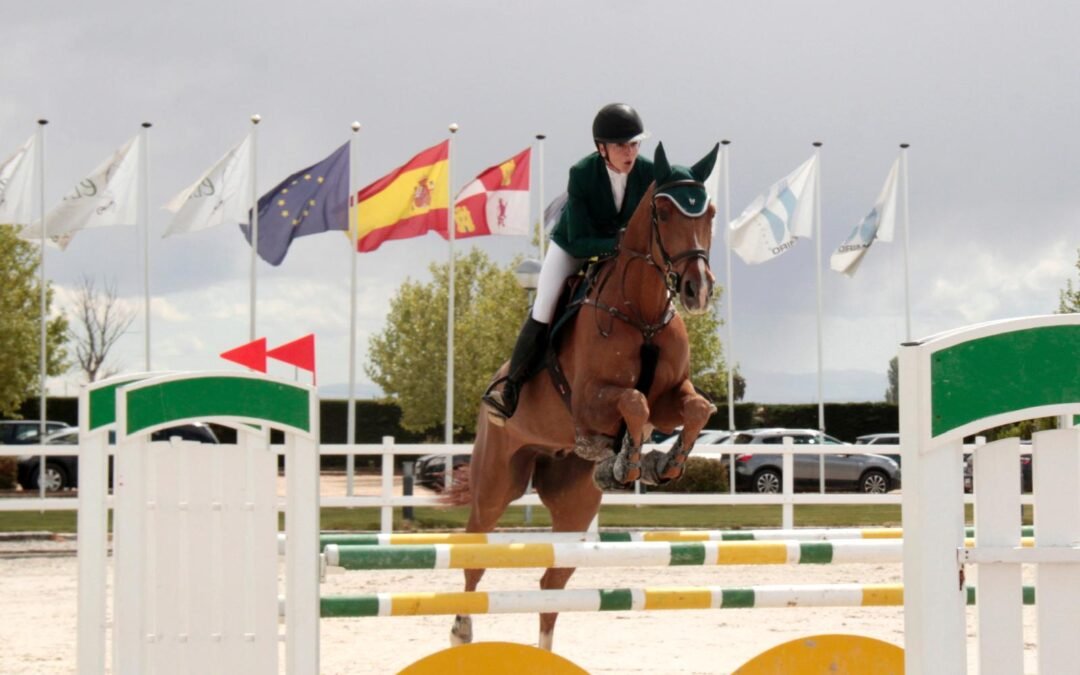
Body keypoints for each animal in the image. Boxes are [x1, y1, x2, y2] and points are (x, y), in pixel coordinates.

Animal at [445, 142, 720, 651]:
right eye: (663, 213)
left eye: (708, 212)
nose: (698, 290)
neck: (641, 309)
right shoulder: (589, 400)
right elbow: (633, 402)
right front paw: (625, 459)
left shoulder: (672, 395)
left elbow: (695, 408)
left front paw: (659, 464)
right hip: (496, 483)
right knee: (475, 559)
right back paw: (461, 629)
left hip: (574, 506)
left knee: (551, 586)